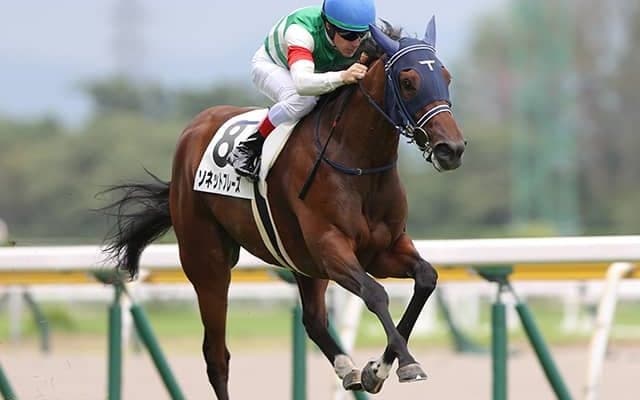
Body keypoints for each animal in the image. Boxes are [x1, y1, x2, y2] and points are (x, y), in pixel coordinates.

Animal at [102, 17, 465, 399]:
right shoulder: (331, 248)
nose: (451, 149)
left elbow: (426, 278)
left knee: (313, 321)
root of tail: (194, 128)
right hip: (207, 262)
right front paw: (403, 365)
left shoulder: (382, 250)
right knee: (216, 355)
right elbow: (375, 294)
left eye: (446, 76)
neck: (358, 162)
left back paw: (348, 368)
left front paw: (375, 370)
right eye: (409, 82)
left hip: (303, 263)